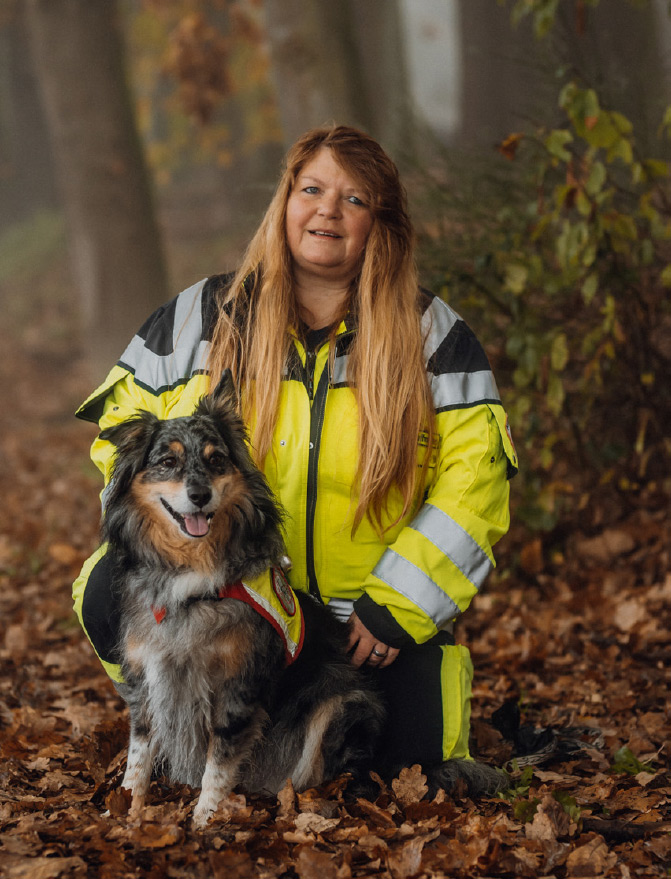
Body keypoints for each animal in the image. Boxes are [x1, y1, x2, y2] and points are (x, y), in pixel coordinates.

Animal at [97, 374, 386, 828]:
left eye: (216, 460)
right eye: (168, 462)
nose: (199, 495)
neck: (192, 574)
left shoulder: (238, 683)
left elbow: (219, 761)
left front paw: (204, 820)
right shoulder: (148, 676)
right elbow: (138, 754)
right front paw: (126, 807)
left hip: (342, 704)